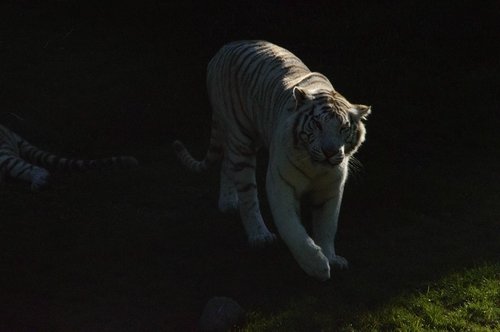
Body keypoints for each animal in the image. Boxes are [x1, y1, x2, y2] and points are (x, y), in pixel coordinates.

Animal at [174, 41, 370, 280]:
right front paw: (316, 265)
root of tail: (226, 46)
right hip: (241, 138)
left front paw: (331, 257)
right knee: (247, 193)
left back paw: (228, 202)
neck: (315, 167)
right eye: (317, 124)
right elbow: (291, 227)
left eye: (343, 128)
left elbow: (327, 226)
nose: (329, 152)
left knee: (227, 163)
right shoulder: (281, 183)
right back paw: (259, 235)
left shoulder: (331, 190)